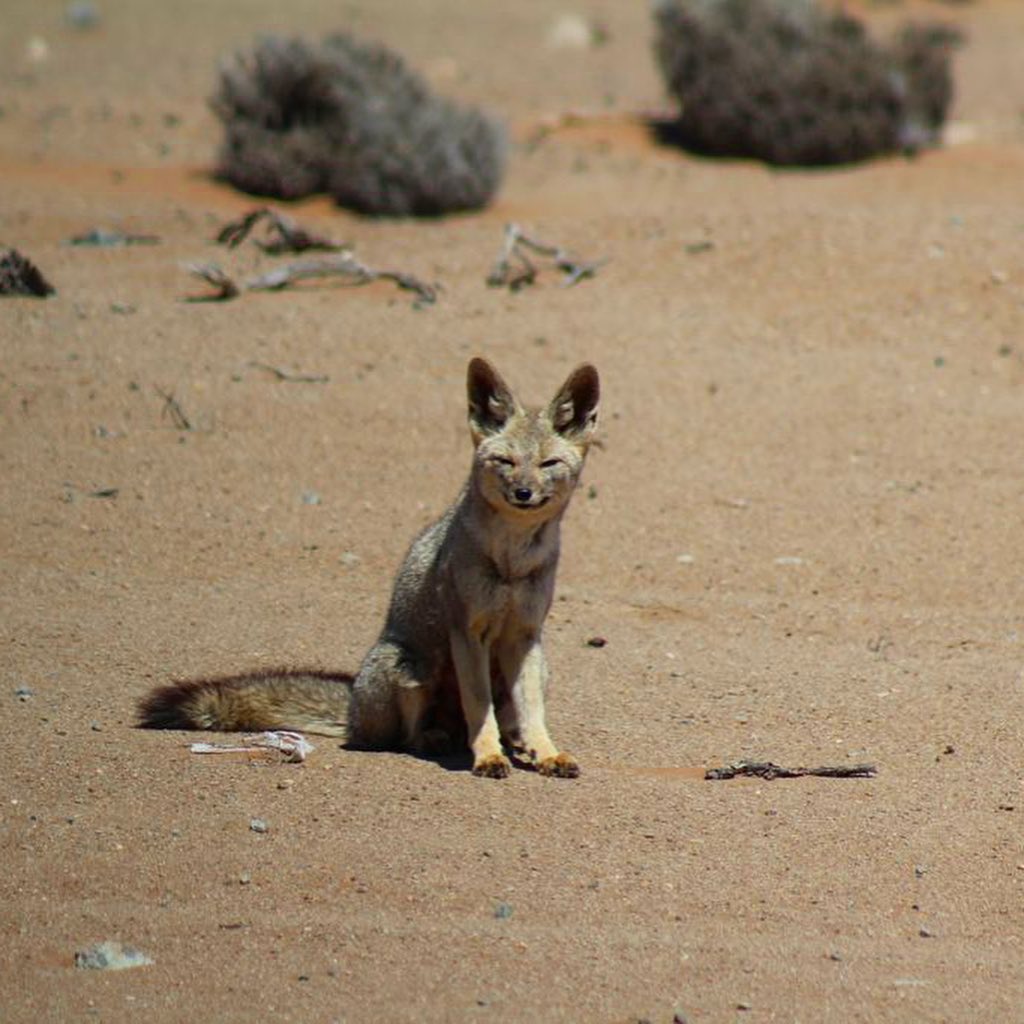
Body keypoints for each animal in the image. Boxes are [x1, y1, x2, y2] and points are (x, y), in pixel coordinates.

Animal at [140, 356, 598, 778]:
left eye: (548, 464)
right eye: (505, 461)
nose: (523, 493)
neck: (512, 560)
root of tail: (353, 710)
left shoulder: (524, 635)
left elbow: (531, 711)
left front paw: (546, 751)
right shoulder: (467, 633)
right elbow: (477, 707)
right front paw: (487, 757)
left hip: (540, 666)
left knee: (506, 720)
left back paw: (516, 743)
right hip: (409, 668)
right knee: (405, 737)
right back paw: (437, 739)